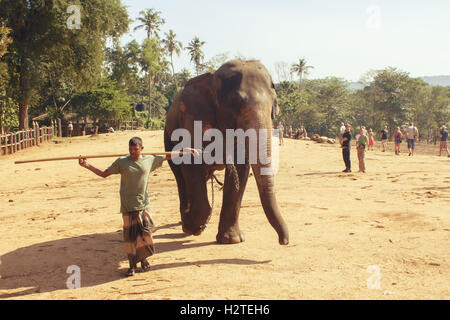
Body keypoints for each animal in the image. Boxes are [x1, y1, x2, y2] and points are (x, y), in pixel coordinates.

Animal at [164, 60, 288, 245]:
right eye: (236, 103)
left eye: (273, 103)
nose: (283, 241)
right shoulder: (191, 120)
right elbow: (192, 161)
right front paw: (196, 227)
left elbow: (240, 169)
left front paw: (232, 240)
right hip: (167, 138)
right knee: (180, 175)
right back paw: (187, 222)